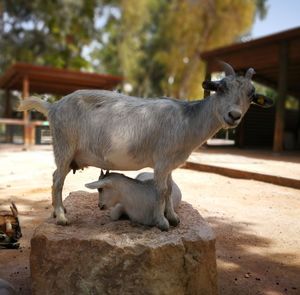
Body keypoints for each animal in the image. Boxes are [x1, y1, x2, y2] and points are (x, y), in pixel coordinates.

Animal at [17, 63, 274, 232]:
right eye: (220, 88)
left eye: (251, 94)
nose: (234, 115)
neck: (187, 120)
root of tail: (53, 107)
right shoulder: (161, 160)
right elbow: (160, 191)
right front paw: (162, 222)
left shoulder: (169, 163)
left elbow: (169, 189)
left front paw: (173, 217)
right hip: (64, 146)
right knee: (57, 180)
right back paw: (61, 217)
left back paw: (57, 211)